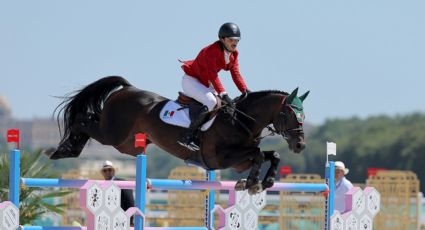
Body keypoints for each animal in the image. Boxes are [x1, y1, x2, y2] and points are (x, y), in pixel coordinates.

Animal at [45, 76, 308, 193]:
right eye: (289, 114)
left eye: (303, 115)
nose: (300, 145)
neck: (240, 120)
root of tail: (127, 88)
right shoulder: (221, 158)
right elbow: (258, 154)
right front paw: (253, 183)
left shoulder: (239, 162)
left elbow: (270, 154)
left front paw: (267, 181)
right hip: (113, 134)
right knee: (83, 119)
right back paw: (62, 150)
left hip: (126, 143)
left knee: (90, 121)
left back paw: (67, 149)